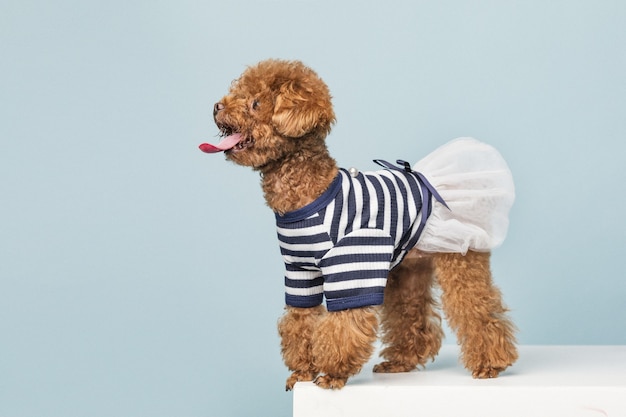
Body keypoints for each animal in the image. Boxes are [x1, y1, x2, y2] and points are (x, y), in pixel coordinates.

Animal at [201, 59, 516, 390]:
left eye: (255, 103)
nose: (216, 106)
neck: (309, 191)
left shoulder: (351, 267)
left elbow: (343, 325)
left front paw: (332, 375)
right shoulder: (299, 271)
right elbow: (300, 322)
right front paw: (302, 371)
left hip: (461, 258)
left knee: (478, 309)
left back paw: (490, 363)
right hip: (409, 269)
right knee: (411, 315)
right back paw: (401, 361)